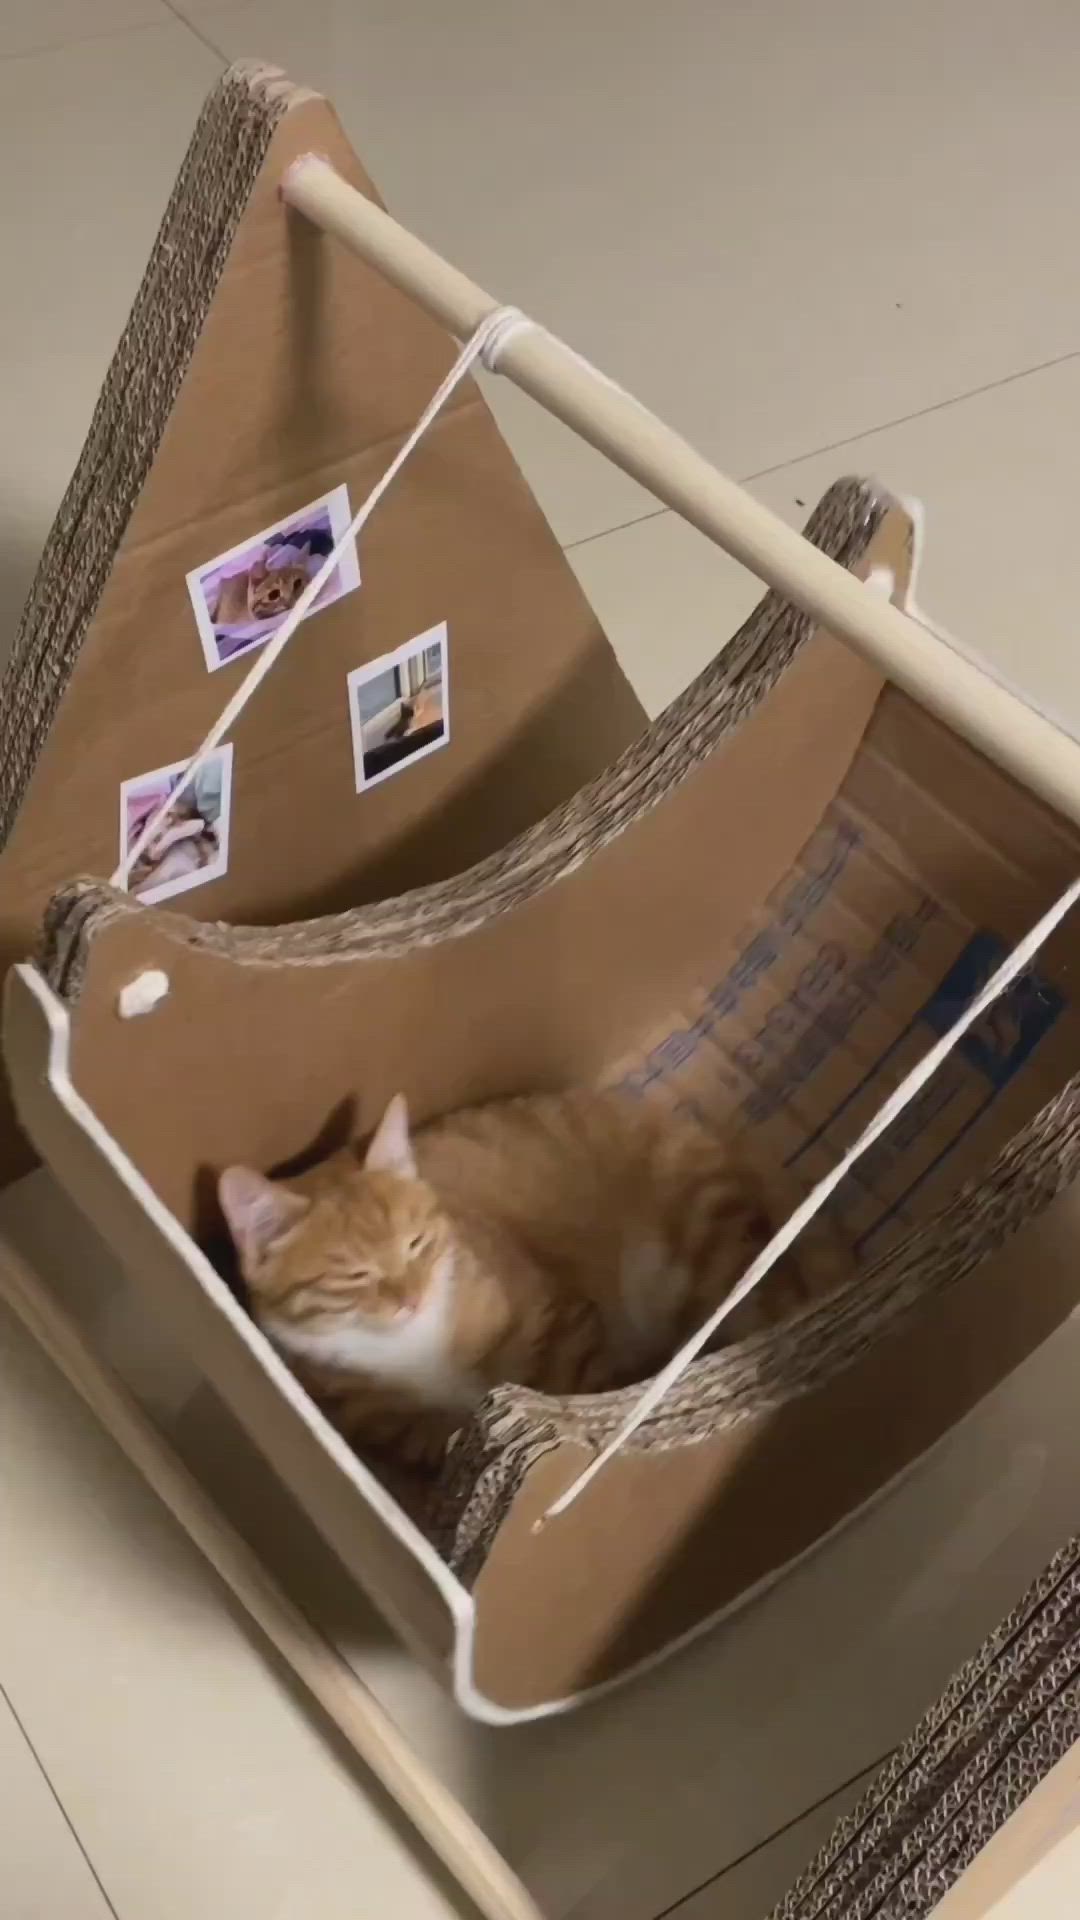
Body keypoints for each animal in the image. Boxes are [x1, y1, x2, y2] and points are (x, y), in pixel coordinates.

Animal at [214, 1098, 845, 1466]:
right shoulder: (400, 1427)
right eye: (354, 1274)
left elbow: (579, 1387)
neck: (413, 1350)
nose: (411, 1298)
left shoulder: (560, 1320)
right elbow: (438, 1438)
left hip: (702, 1239)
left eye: (417, 1243)